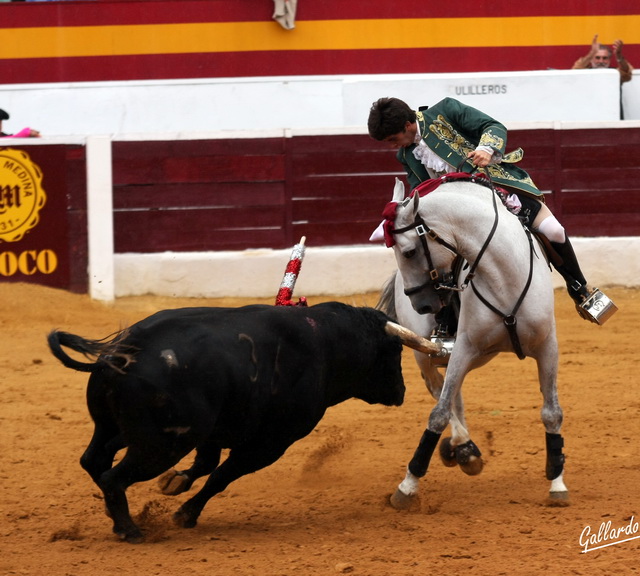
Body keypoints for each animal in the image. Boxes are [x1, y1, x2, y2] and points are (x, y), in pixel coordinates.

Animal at [50, 304, 420, 544]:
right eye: (394, 352)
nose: (401, 391)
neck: (326, 342)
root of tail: (123, 351)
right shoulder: (270, 444)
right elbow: (222, 476)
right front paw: (186, 513)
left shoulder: (213, 432)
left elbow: (206, 465)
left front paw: (175, 483)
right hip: (161, 445)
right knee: (113, 476)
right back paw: (129, 530)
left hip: (116, 428)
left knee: (94, 460)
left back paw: (115, 515)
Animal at [378, 176, 568, 508]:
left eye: (410, 252)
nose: (421, 305)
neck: (504, 277)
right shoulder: (463, 347)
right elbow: (438, 413)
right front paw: (408, 486)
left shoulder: (548, 346)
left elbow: (551, 411)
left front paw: (557, 482)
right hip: (428, 355)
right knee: (440, 390)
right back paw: (463, 447)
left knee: (454, 393)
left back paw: (462, 449)